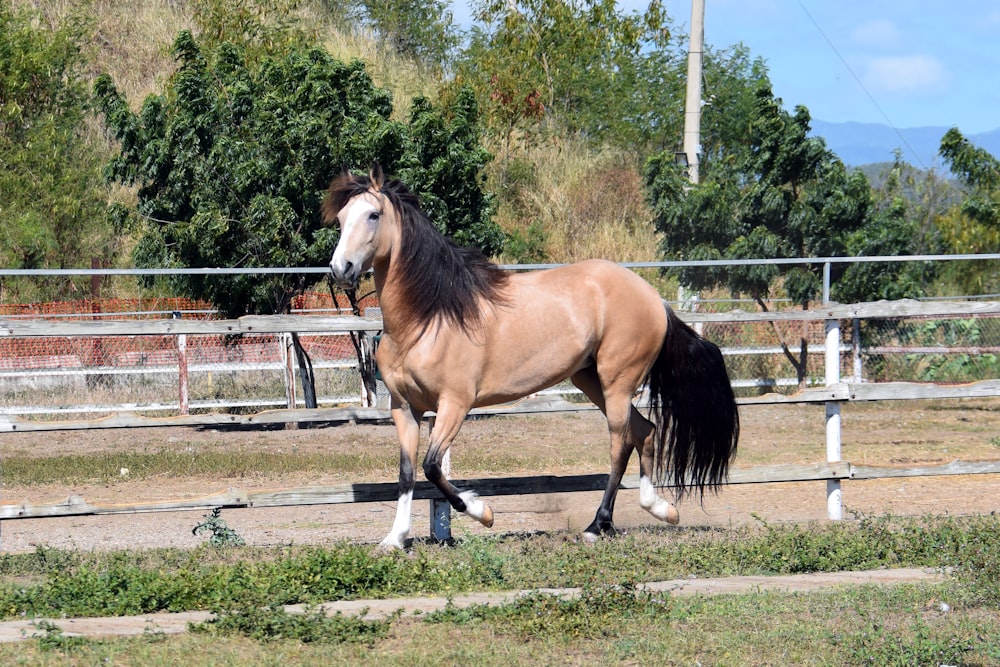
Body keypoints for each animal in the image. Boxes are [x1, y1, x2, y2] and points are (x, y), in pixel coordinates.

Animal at [324, 164, 740, 552]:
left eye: (373, 215)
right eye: (342, 218)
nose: (340, 269)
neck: (429, 317)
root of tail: (655, 300)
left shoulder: (455, 404)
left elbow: (431, 467)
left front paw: (484, 513)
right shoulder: (404, 408)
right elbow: (407, 472)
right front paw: (394, 539)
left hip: (618, 382)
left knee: (620, 445)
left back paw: (596, 526)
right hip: (591, 380)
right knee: (646, 431)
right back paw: (661, 509)